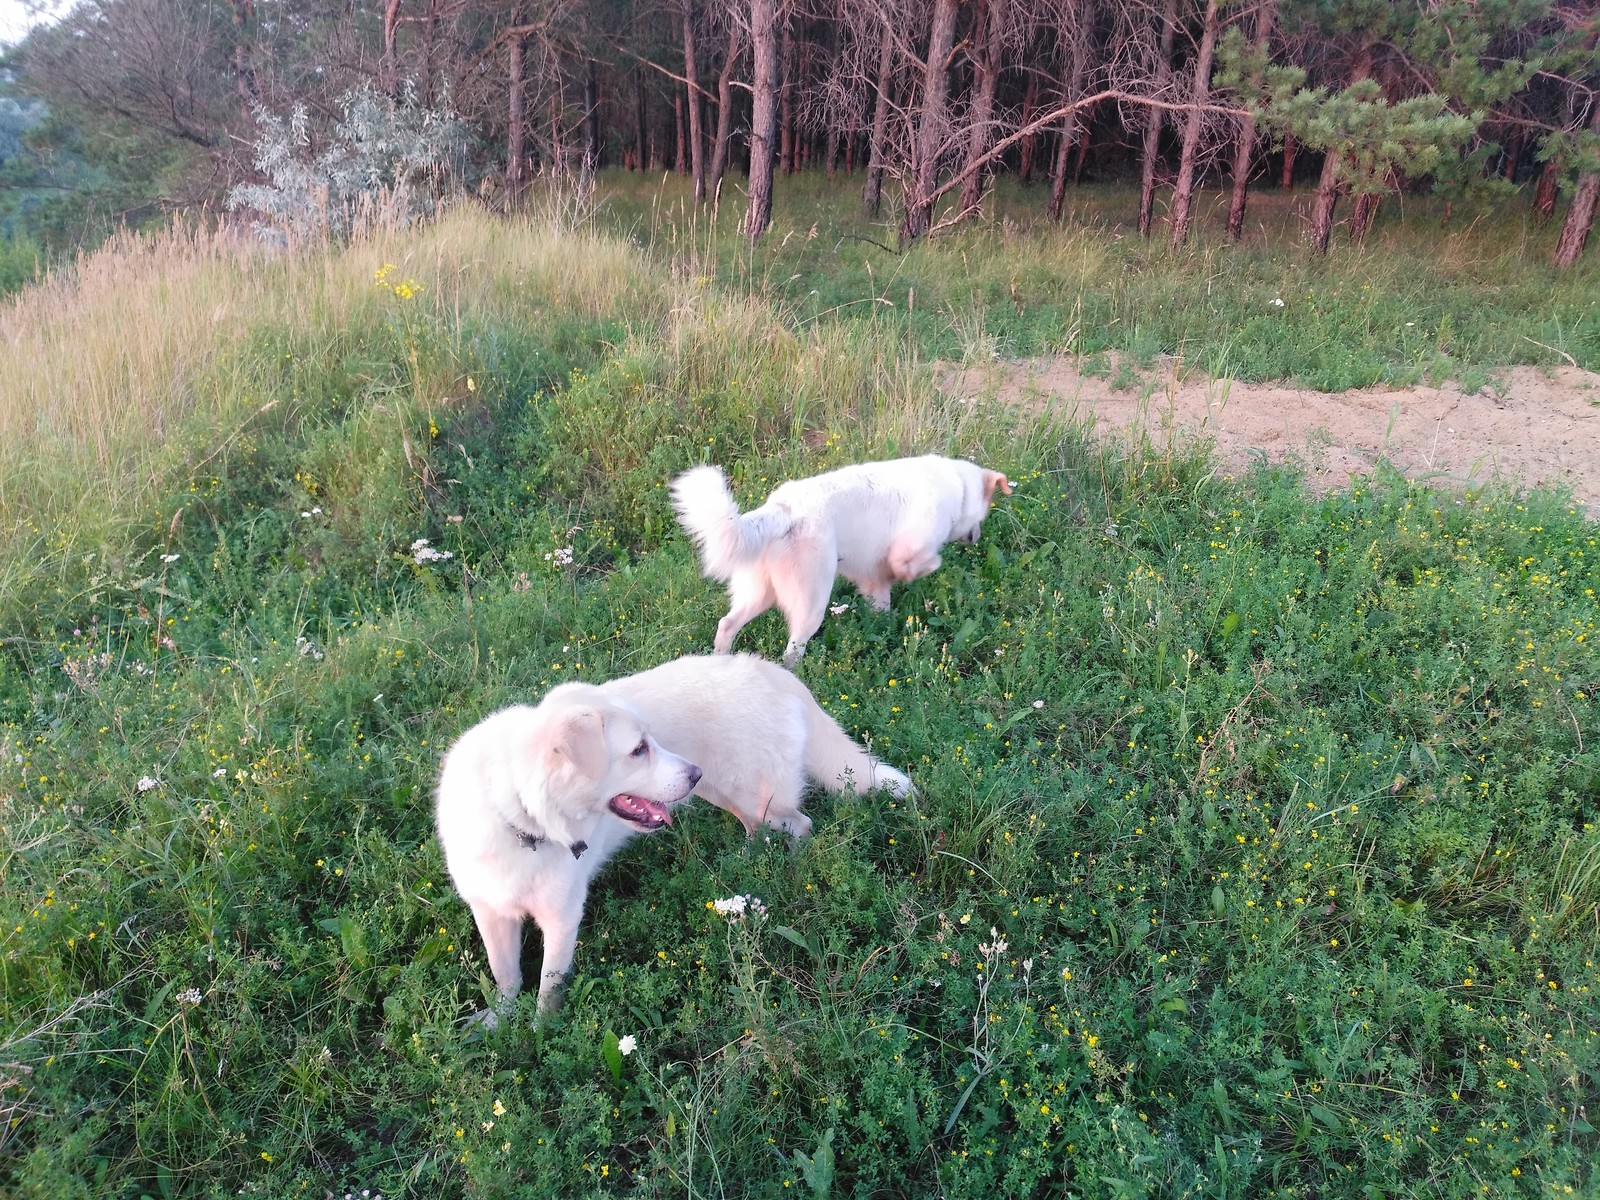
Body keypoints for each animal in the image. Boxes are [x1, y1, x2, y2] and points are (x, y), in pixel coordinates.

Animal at [435, 652, 915, 1017]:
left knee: (800, 825)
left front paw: (538, 1037)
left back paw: (787, 873)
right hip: (723, 791)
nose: (692, 770)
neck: (524, 821)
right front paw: (500, 1024)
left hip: (748, 792)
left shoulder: (562, 917)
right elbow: (506, 976)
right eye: (638, 750)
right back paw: (744, 864)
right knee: (756, 830)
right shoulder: (491, 911)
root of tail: (769, 670)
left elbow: (547, 991)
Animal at [675, 457, 1011, 672]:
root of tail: (782, 510)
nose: (977, 537)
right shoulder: (909, 548)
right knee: (791, 651)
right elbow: (922, 564)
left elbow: (882, 606)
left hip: (759, 594)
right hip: (811, 603)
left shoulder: (874, 580)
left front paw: (883, 631)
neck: (959, 487)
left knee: (727, 624)